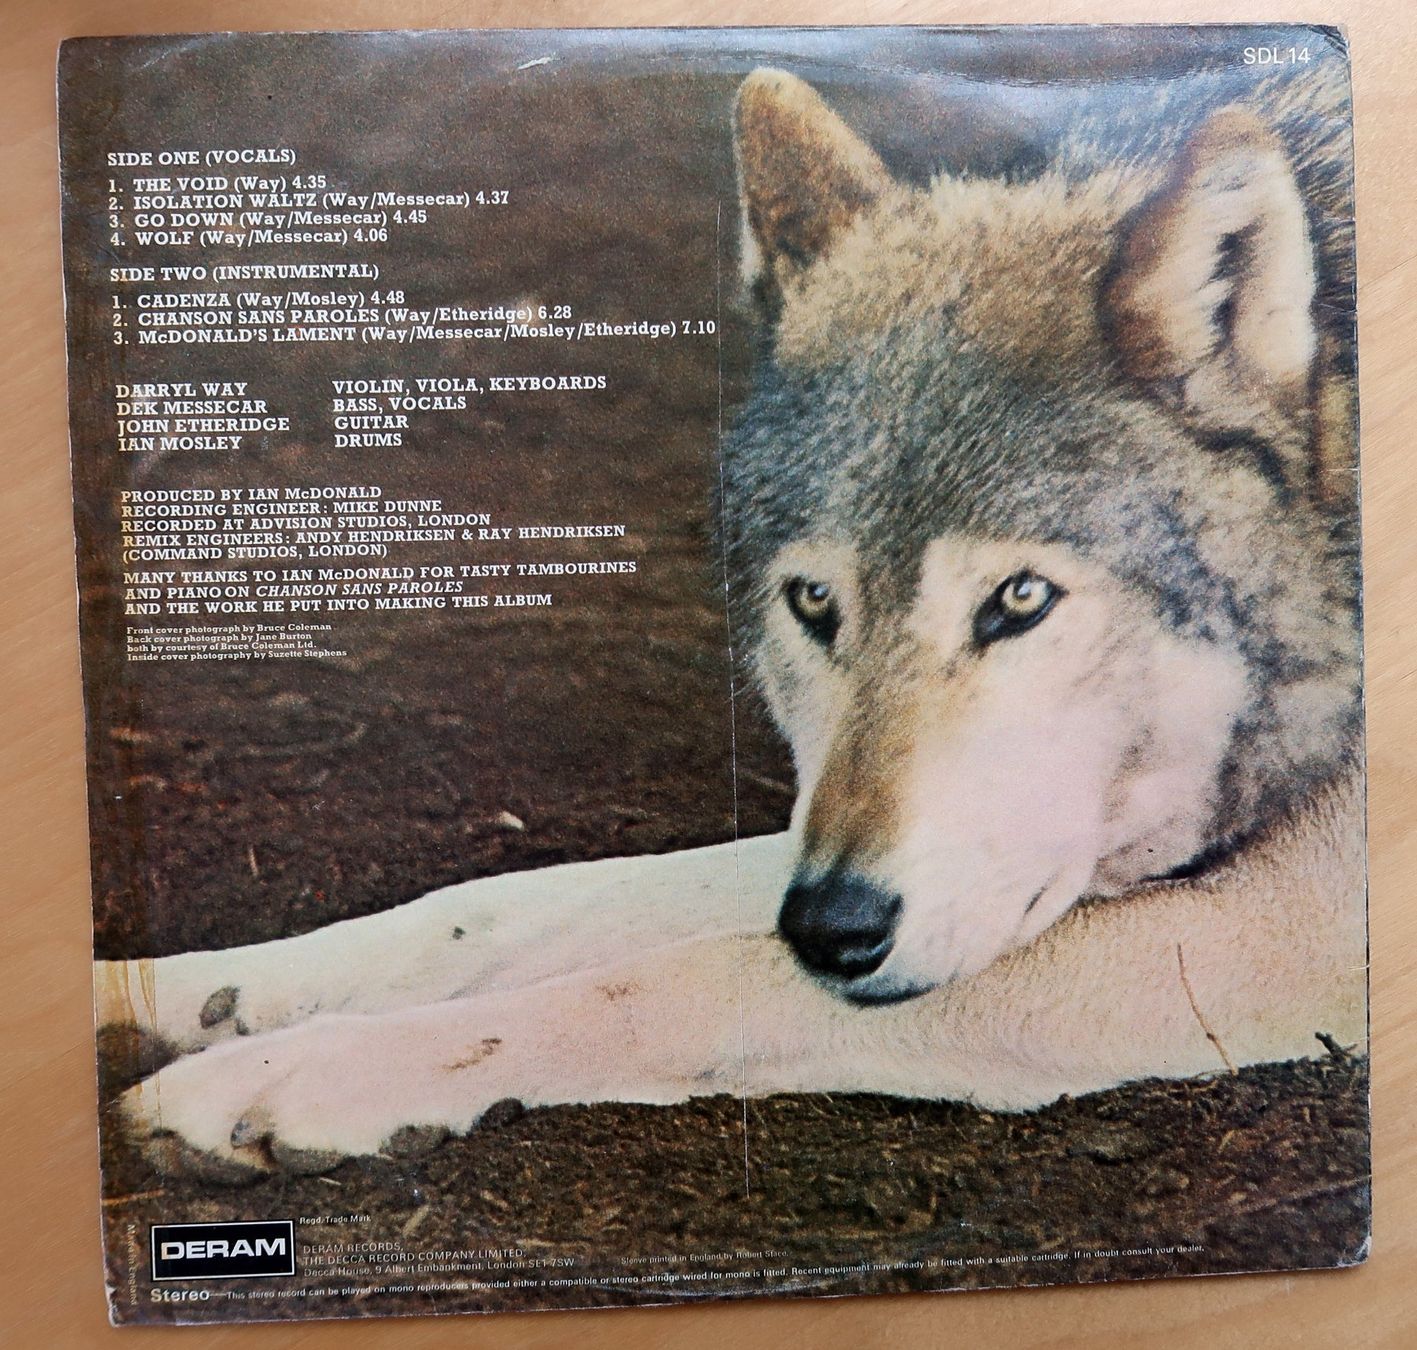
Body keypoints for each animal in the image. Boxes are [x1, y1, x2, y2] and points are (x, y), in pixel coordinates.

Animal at [102, 62, 1364, 1178]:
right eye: (812, 602)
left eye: (1018, 601)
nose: (833, 928)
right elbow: (499, 906)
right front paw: (159, 989)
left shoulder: (1264, 933)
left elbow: (680, 976)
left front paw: (292, 1077)